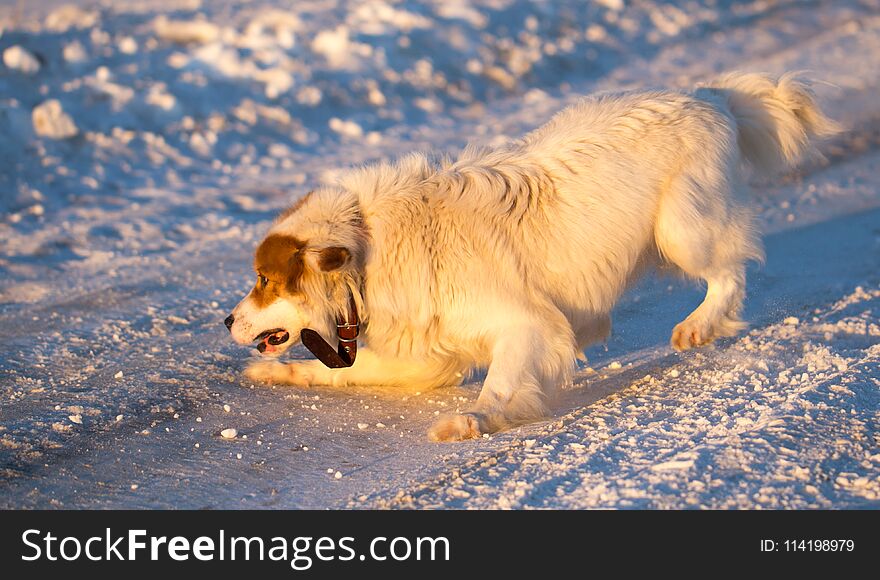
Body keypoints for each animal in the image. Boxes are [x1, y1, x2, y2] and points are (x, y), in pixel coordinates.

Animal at [223, 75, 836, 442]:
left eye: (264, 280)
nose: (226, 320)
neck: (369, 247)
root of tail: (710, 95)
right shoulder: (425, 354)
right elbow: (340, 373)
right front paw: (274, 373)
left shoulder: (527, 324)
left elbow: (501, 381)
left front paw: (474, 418)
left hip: (681, 228)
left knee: (730, 272)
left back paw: (698, 325)